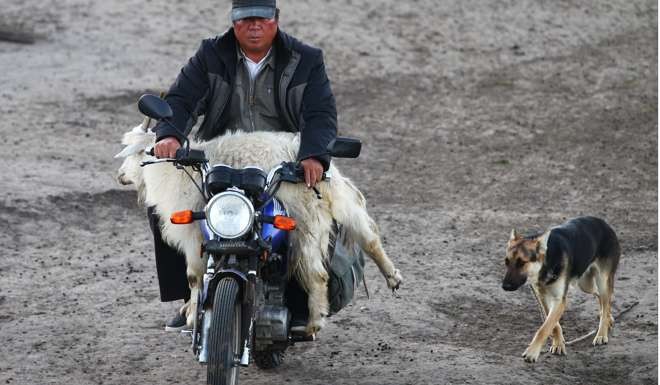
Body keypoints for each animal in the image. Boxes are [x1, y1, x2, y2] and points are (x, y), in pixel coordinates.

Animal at [116, 124, 402, 332]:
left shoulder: (192, 234)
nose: (119, 175)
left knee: (318, 275)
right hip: (339, 203)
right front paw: (189, 312)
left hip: (303, 224)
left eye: (134, 153)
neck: (169, 171)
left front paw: (192, 315)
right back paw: (392, 276)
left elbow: (194, 277)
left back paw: (313, 322)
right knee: (369, 236)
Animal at [502, 216, 620, 364]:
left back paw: (602, 333)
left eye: (522, 263)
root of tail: (604, 223)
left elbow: (544, 328)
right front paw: (558, 343)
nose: (505, 286)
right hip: (584, 284)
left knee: (606, 299)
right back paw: (608, 318)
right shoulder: (543, 298)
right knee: (602, 298)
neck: (546, 264)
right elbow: (553, 324)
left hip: (601, 280)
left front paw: (532, 352)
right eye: (506, 261)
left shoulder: (559, 300)